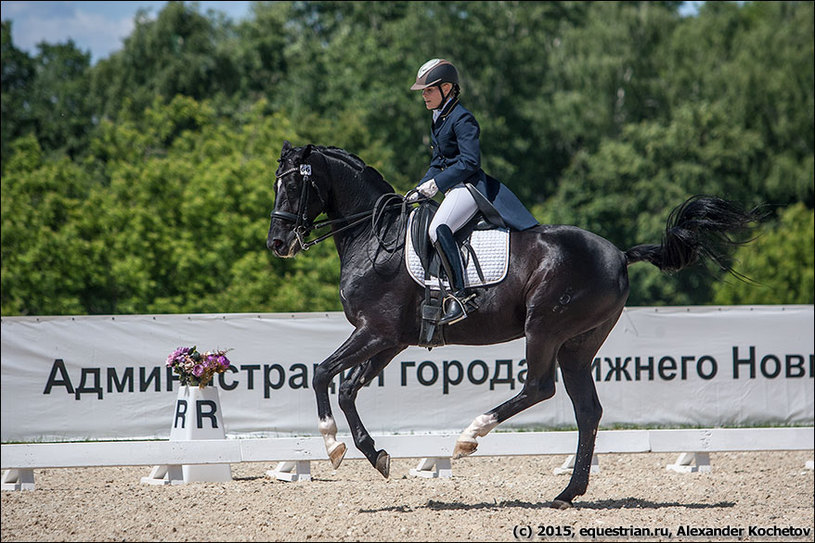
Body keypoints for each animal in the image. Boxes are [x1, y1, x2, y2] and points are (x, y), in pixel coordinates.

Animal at [266, 141, 760, 510]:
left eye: (295, 183)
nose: (277, 243)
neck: (373, 237)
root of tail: (619, 254)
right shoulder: (391, 340)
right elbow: (348, 388)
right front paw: (375, 455)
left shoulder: (377, 331)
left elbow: (322, 374)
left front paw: (332, 446)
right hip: (577, 344)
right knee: (587, 410)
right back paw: (567, 493)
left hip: (544, 328)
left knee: (539, 387)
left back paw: (470, 437)